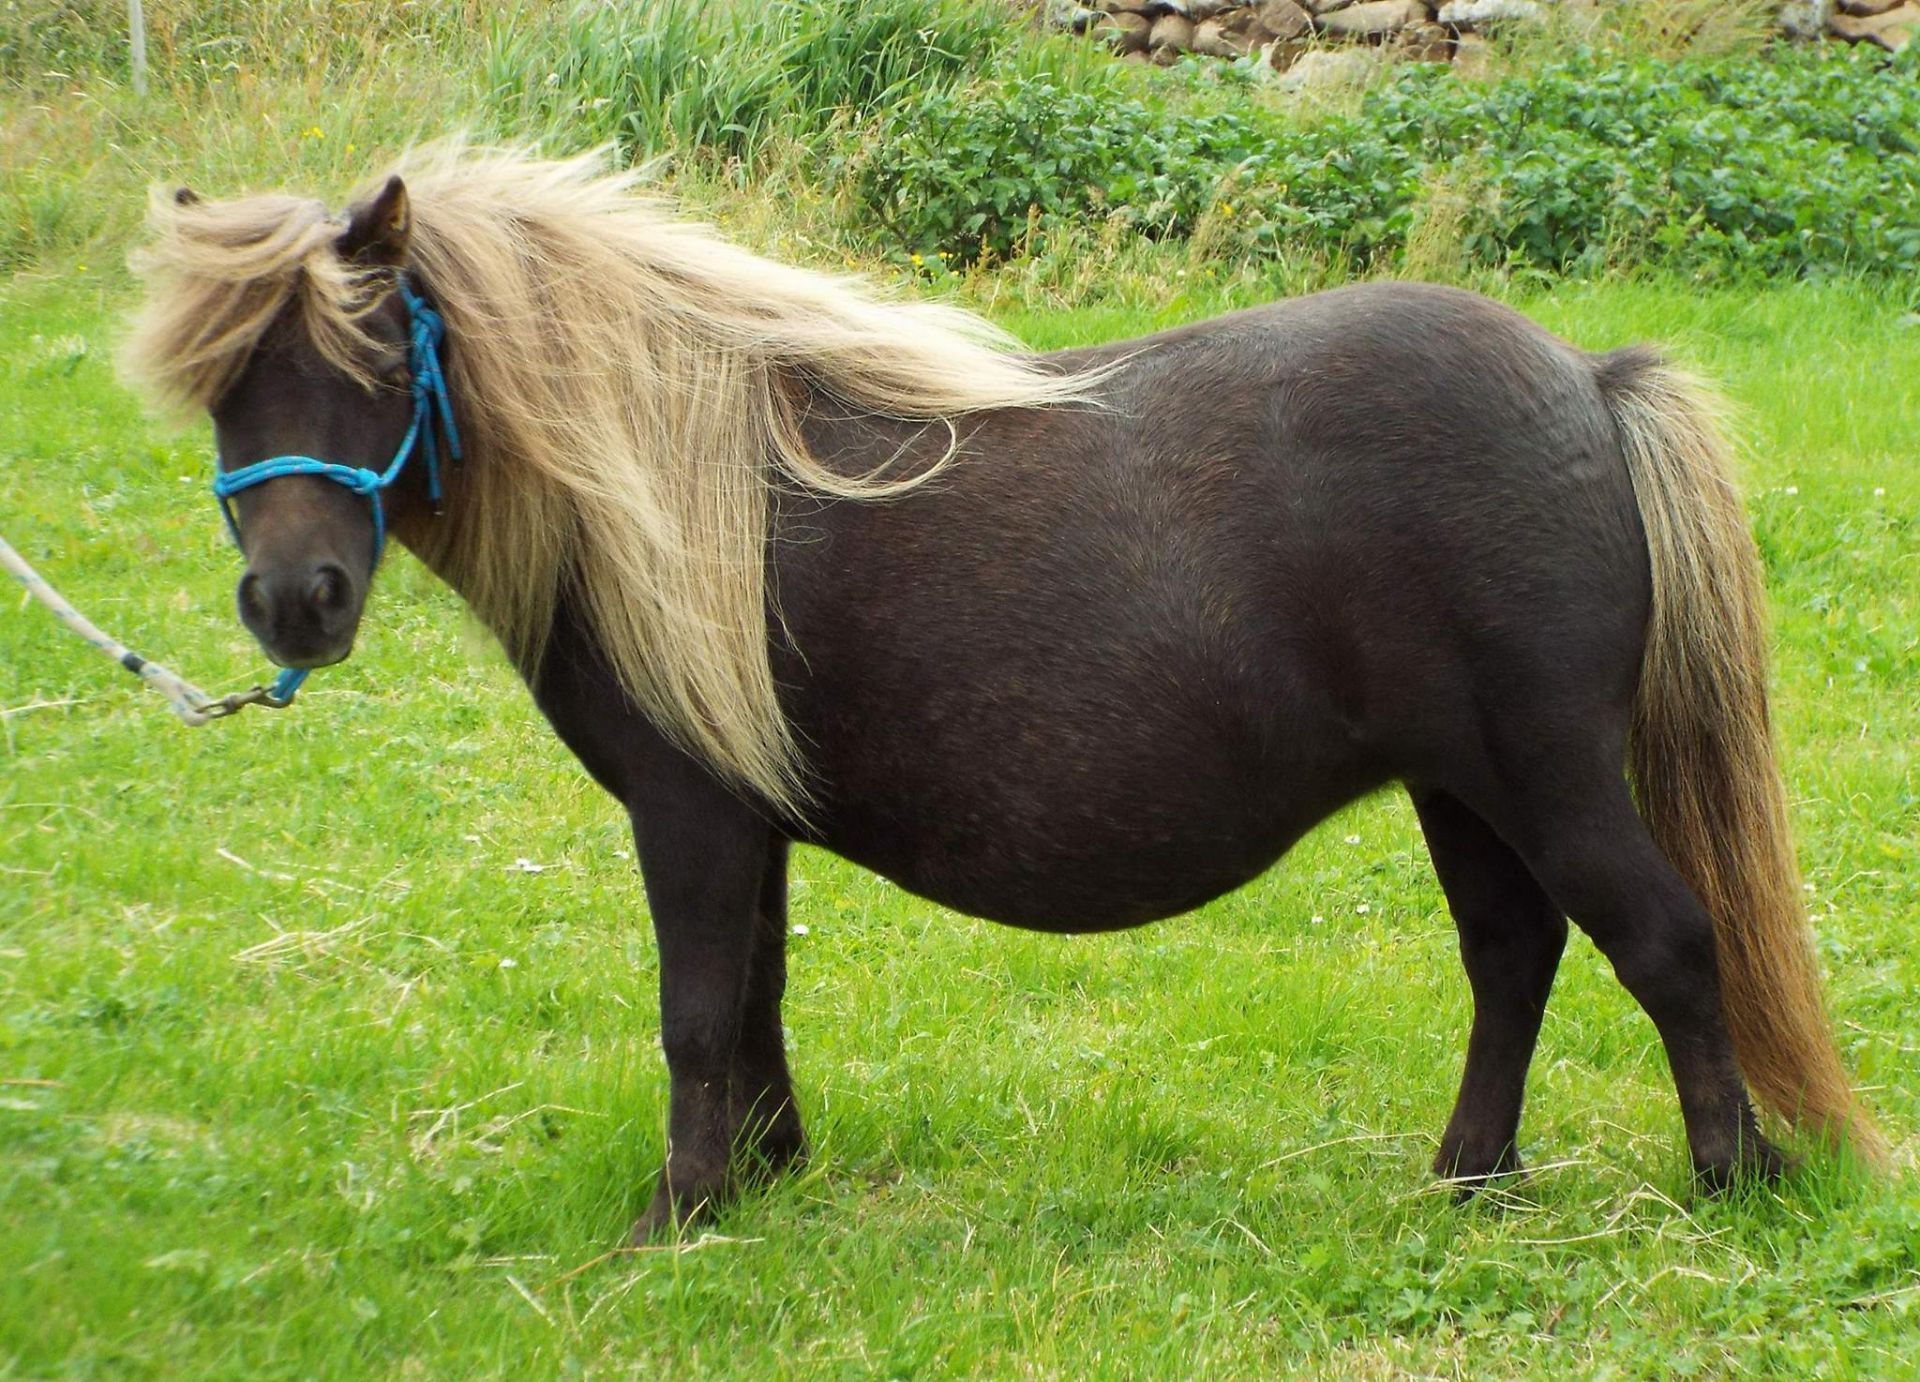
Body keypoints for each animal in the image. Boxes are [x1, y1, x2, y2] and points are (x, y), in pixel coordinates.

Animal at [127, 151, 1881, 1243]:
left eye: (372, 359)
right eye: (221, 383)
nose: (294, 600)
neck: (672, 480)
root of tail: (1585, 379)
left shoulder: (690, 814)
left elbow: (696, 1010)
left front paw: (678, 1214)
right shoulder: (746, 824)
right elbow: (756, 999)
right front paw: (766, 1175)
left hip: (1549, 774)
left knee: (1666, 942)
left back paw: (1727, 1180)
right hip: (1464, 788)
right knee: (1513, 959)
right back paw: (1466, 1179)